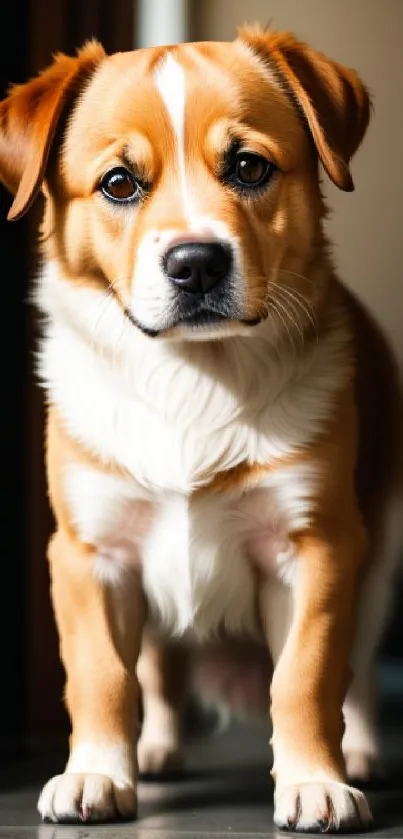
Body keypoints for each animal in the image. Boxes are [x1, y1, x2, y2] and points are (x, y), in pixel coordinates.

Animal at [0, 24, 403, 832]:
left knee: (362, 675)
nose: (196, 264)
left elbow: (307, 676)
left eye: (248, 166)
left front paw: (315, 780)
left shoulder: (317, 550)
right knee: (157, 673)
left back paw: (364, 752)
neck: (191, 376)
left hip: (380, 562)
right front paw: (96, 771)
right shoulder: (90, 554)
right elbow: (102, 676)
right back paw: (153, 750)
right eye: (119, 183)